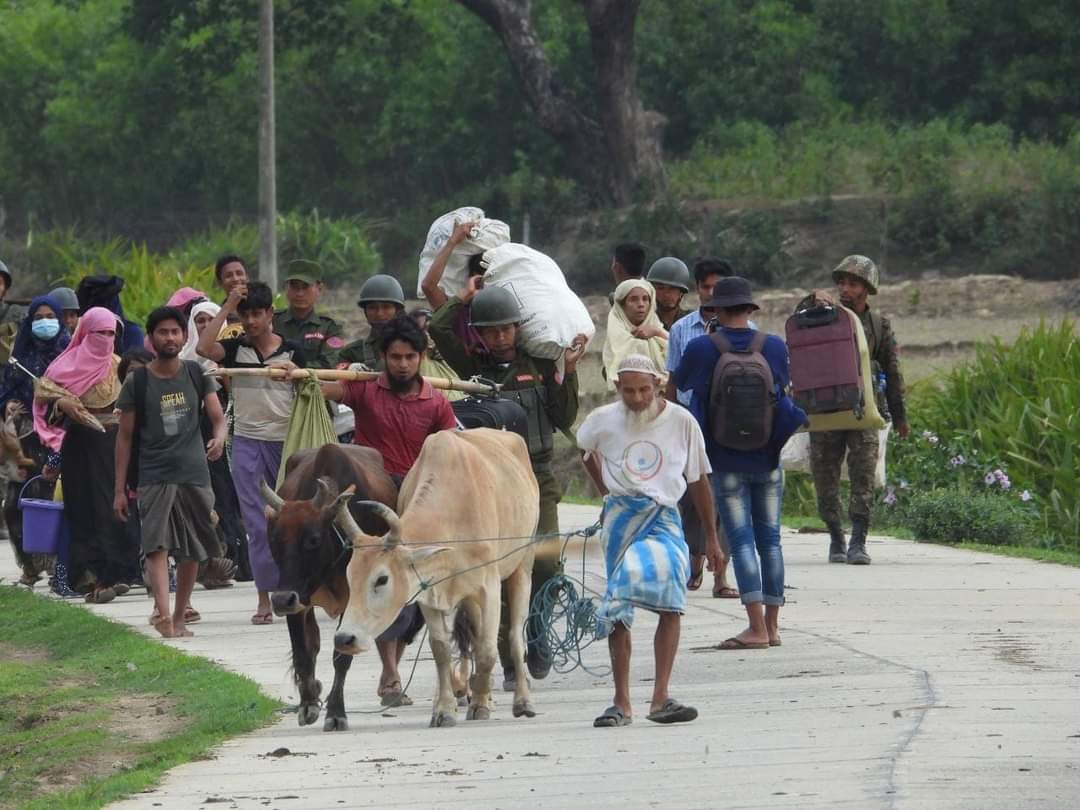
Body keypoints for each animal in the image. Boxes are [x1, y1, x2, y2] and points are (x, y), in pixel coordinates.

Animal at [262, 444, 401, 734]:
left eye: (313, 539)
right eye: (274, 539)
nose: (279, 600)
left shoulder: (353, 600)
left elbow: (341, 656)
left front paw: (336, 713)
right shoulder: (298, 600)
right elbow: (303, 652)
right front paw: (308, 705)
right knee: (312, 644)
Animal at [332, 432, 540, 730]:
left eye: (382, 579)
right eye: (350, 577)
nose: (344, 638)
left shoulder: (488, 587)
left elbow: (488, 649)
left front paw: (479, 706)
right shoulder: (429, 592)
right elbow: (441, 649)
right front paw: (444, 709)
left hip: (523, 565)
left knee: (513, 636)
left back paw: (521, 701)